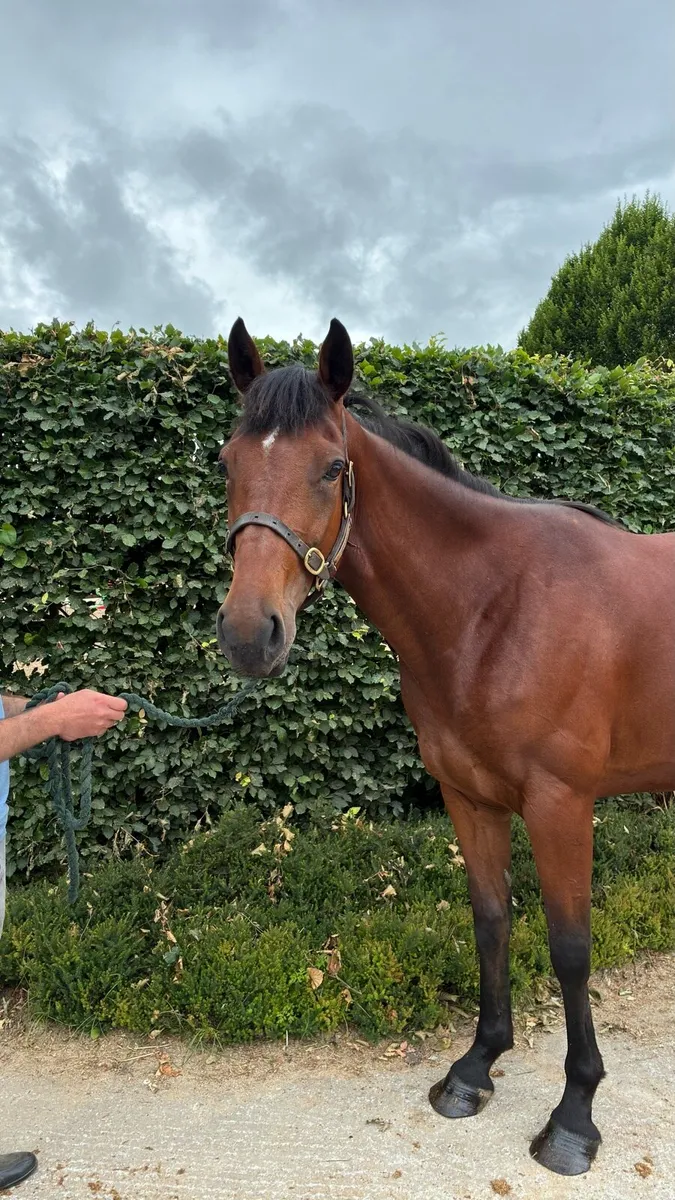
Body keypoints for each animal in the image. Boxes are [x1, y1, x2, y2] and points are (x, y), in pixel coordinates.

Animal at [215, 316, 675, 1176]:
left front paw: (574, 1115)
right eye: (226, 462)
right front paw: (474, 1068)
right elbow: (490, 919)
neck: (494, 605)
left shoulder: (560, 804)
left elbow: (569, 947)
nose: (248, 635)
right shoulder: (469, 796)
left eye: (333, 468)